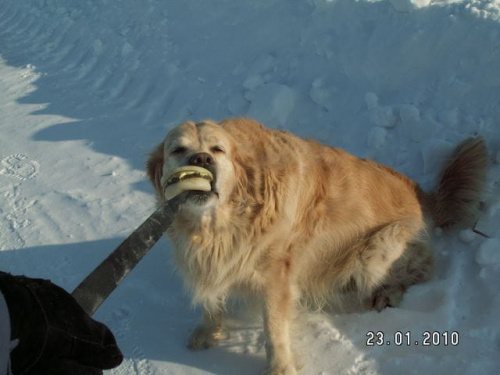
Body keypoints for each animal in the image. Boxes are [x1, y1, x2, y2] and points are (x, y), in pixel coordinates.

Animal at [146, 118, 488, 375]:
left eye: (217, 149)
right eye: (178, 149)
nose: (201, 159)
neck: (222, 222)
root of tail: (419, 192)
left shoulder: (276, 277)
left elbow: (274, 329)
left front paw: (280, 368)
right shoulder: (208, 259)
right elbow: (211, 298)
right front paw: (208, 330)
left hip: (375, 252)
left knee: (421, 268)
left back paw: (383, 295)